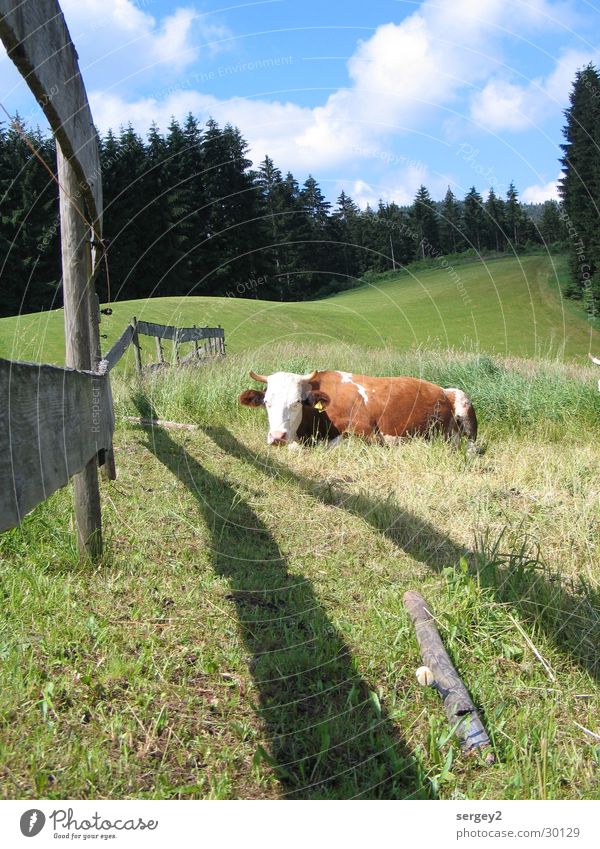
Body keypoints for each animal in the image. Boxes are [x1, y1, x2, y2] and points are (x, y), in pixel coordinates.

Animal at [239, 370, 478, 450]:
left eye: (297, 401)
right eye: (267, 402)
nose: (277, 436)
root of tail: (441, 389)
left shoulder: (369, 434)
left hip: (463, 400)